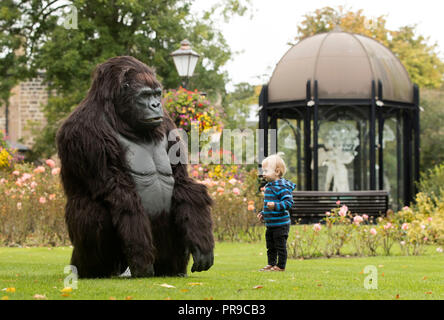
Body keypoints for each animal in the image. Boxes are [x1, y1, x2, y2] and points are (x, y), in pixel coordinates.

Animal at [57, 55, 215, 278]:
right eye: (146, 95)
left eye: (157, 94)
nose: (156, 105)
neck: (118, 116)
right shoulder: (85, 130)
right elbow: (121, 195)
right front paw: (142, 260)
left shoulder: (167, 122)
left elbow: (183, 184)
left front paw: (201, 244)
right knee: (94, 211)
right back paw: (91, 270)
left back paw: (173, 270)